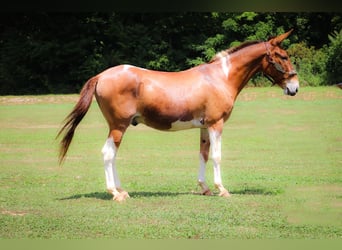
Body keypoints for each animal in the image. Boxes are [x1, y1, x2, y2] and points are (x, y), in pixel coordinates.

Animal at [58, 29, 300, 201]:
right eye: (283, 56)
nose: (294, 87)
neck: (220, 77)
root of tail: (101, 75)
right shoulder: (216, 124)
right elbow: (217, 156)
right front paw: (222, 189)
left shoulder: (204, 126)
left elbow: (203, 154)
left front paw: (205, 188)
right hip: (118, 126)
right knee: (108, 154)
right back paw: (116, 193)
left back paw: (122, 190)